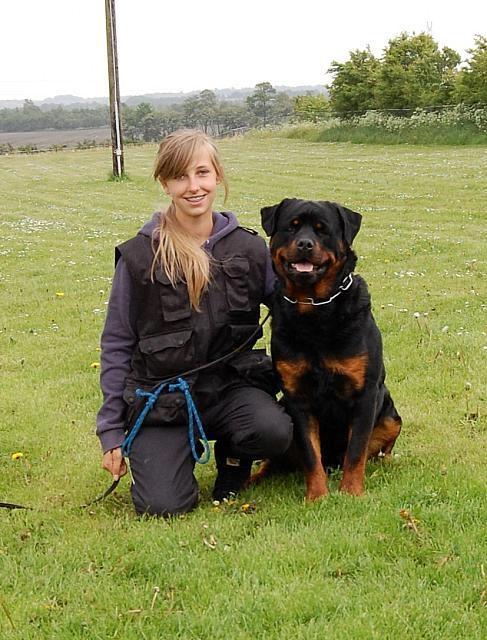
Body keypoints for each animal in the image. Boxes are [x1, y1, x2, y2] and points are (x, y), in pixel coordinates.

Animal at [262, 198, 402, 498]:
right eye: (291, 227)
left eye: (322, 230)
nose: (305, 244)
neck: (314, 309)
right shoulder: (297, 397)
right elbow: (310, 454)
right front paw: (317, 496)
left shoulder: (364, 394)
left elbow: (356, 450)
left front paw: (351, 492)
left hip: (390, 415)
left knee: (378, 450)